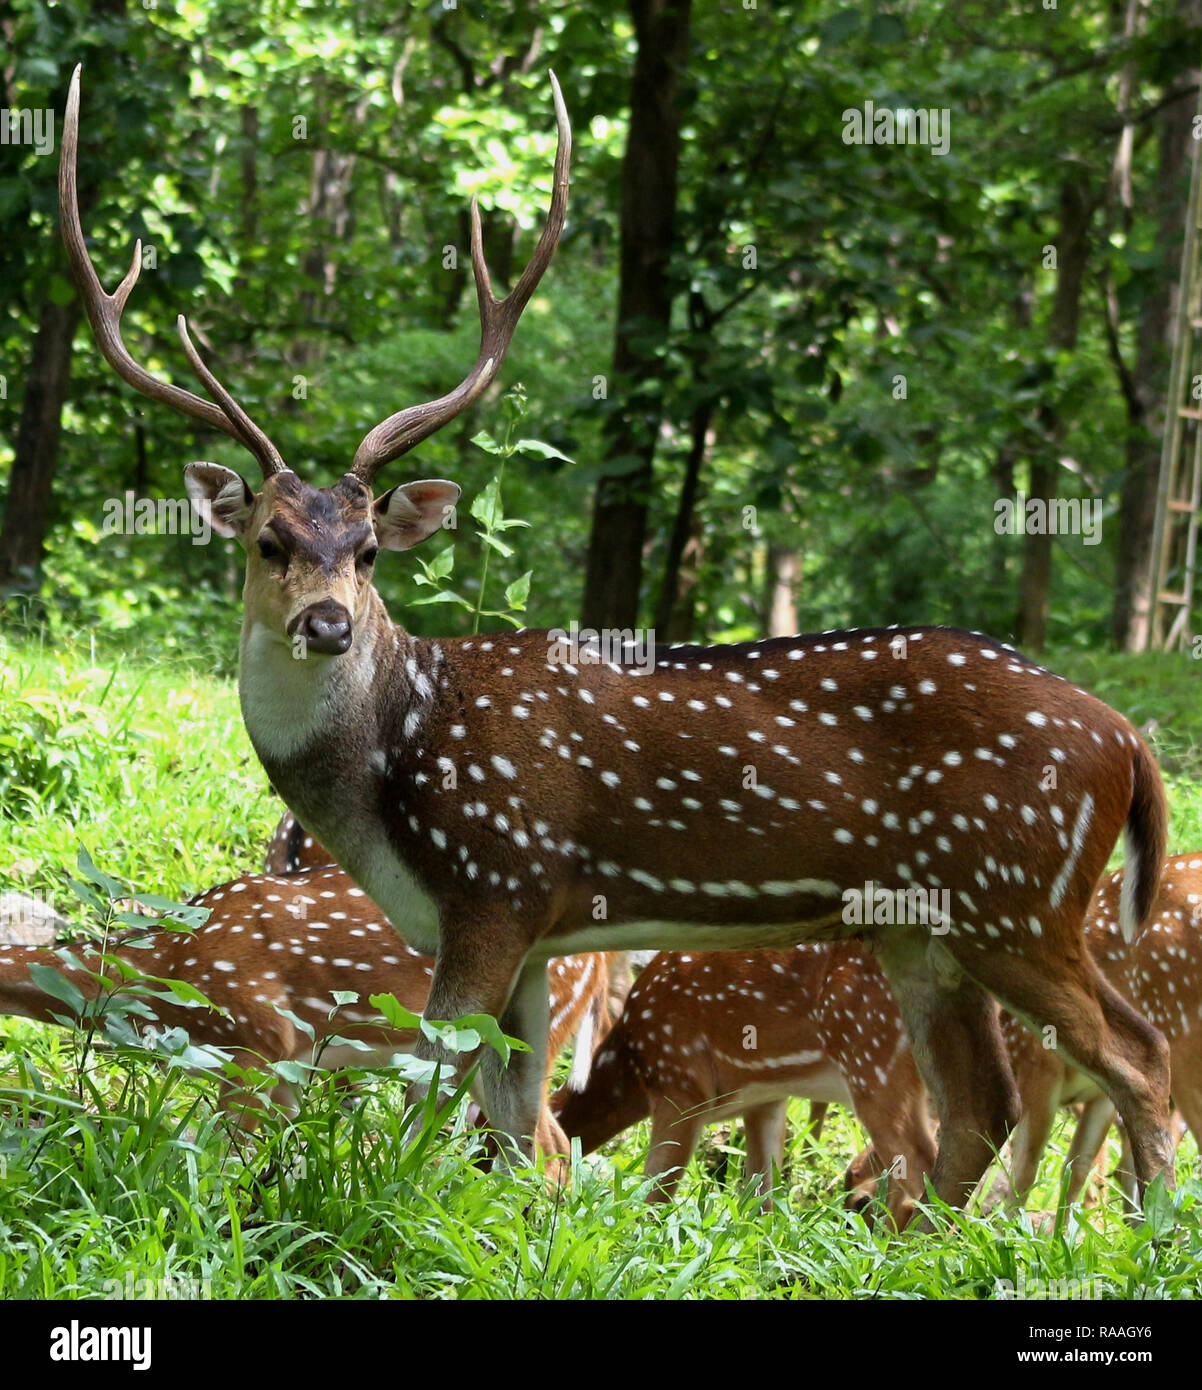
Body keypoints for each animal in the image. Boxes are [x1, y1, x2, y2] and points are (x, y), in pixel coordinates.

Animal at [552, 941, 935, 1223]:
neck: (630, 1064)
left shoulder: (680, 1082)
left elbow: (657, 1192)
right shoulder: (766, 1099)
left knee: (917, 1174)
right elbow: (762, 1198)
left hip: (873, 1056)